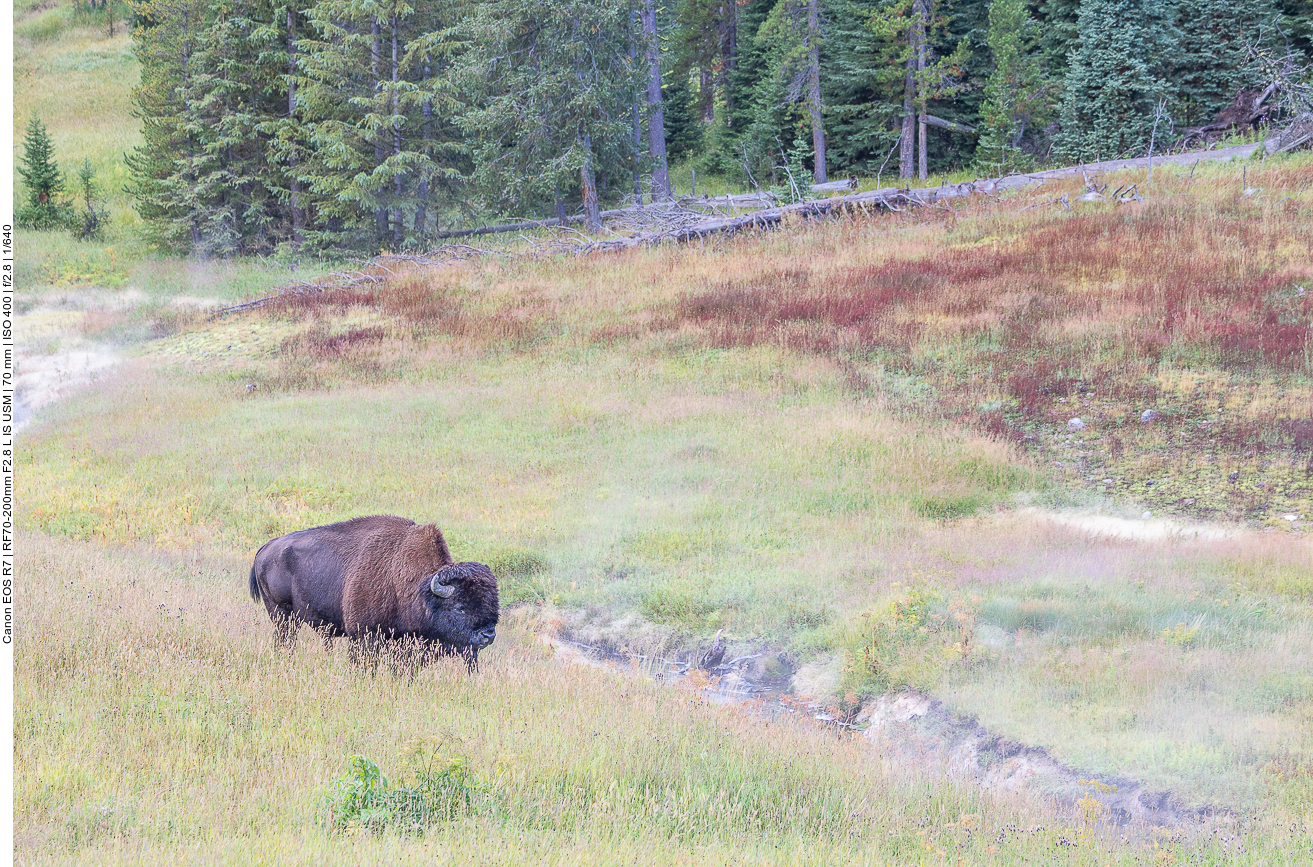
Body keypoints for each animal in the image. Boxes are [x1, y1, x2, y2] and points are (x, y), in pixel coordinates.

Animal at [248, 514, 498, 669]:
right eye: (460, 607)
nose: (488, 635)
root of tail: (266, 547)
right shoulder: (363, 636)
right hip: (281, 614)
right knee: (285, 641)